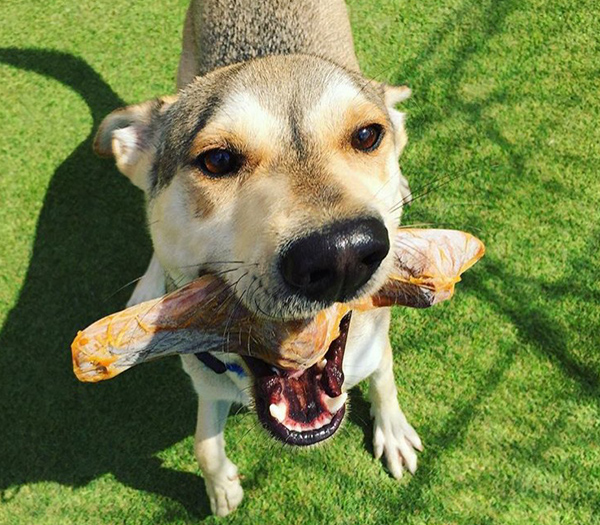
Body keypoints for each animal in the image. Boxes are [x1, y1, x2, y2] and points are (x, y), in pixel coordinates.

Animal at [94, 0, 421, 516]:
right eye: (217, 160)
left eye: (367, 135)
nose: (341, 255)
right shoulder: (205, 379)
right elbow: (204, 445)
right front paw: (220, 486)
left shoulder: (373, 341)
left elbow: (385, 377)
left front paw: (393, 431)